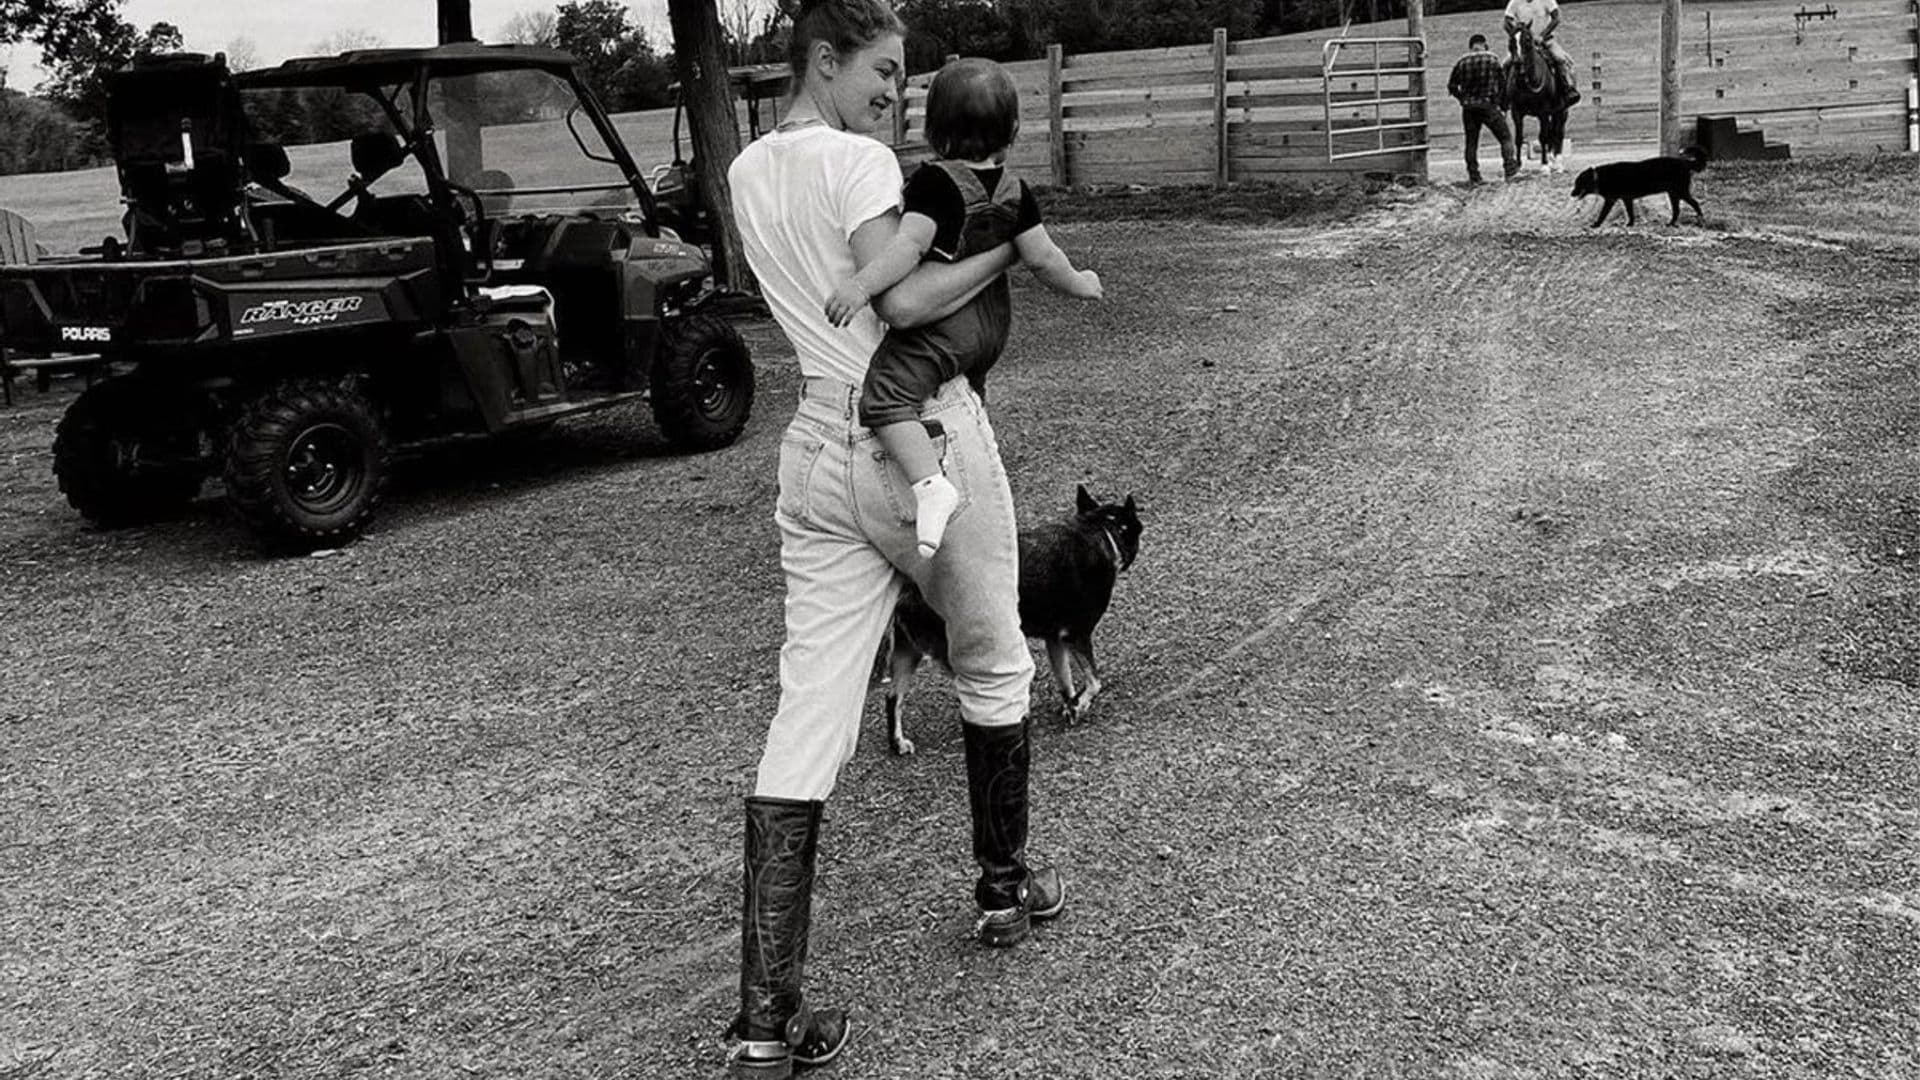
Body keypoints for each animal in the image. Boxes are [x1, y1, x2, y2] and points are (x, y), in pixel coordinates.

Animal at [879, 484, 1136, 753]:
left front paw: (1071, 707)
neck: (1100, 530)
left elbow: (1066, 681)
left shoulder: (1055, 640)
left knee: (892, 698)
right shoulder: (1078, 634)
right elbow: (1095, 682)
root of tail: (906, 588)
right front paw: (1080, 704)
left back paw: (898, 743)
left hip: (908, 655)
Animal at [1505, 31, 1566, 171]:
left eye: (1527, 40)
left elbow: (1543, 137)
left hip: (1561, 111)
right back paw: (1552, 159)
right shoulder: (1516, 111)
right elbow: (1519, 138)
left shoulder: (1543, 111)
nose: (1518, 63)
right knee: (1552, 132)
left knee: (1558, 133)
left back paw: (1558, 164)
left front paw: (1544, 165)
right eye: (1511, 41)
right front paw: (1518, 165)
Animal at [1574, 144, 1712, 225]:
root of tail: (1685, 162)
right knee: (1677, 210)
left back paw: (1701, 219)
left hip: (1680, 192)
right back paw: (1671, 223)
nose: (1571, 193)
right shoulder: (1626, 199)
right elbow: (1630, 212)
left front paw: (1596, 224)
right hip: (1673, 194)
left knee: (1695, 203)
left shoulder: (1611, 200)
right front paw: (1630, 224)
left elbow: (1603, 214)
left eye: (1577, 183)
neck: (1599, 177)